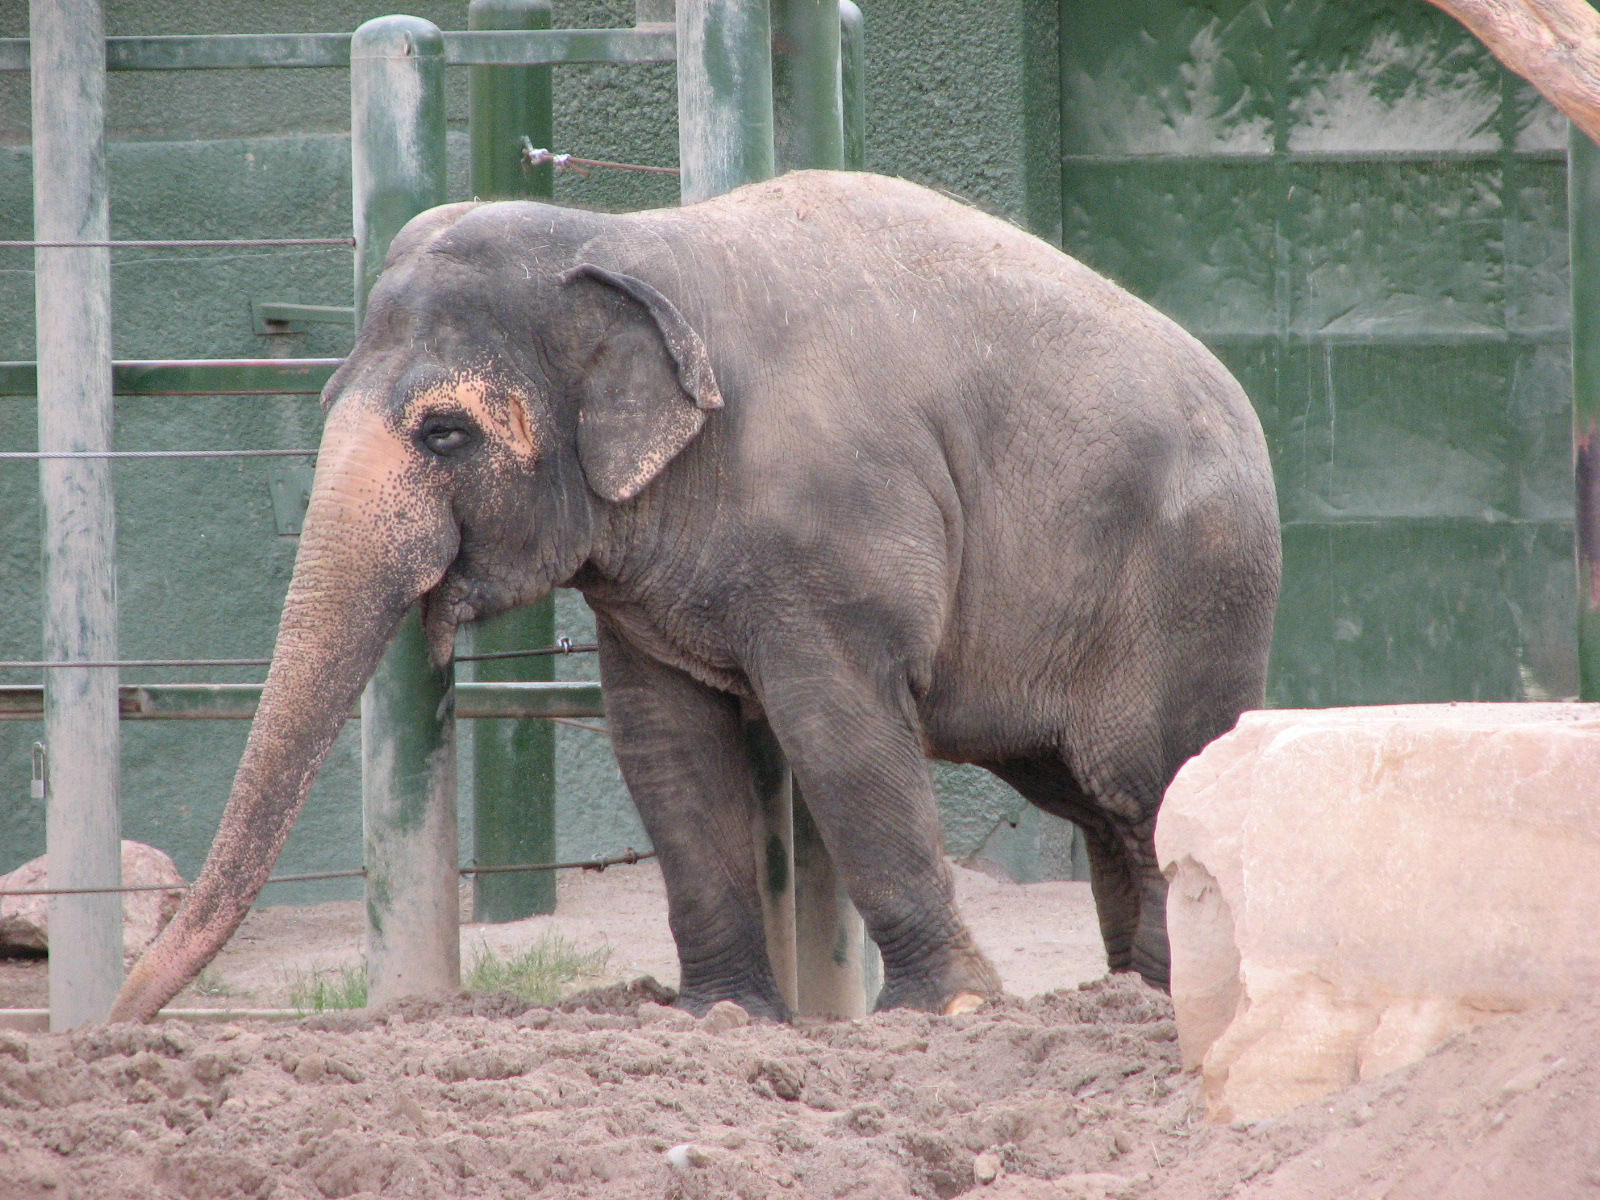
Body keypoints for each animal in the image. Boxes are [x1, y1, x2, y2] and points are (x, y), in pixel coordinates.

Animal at [111, 170, 1280, 1024]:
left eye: (443, 434)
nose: (119, 1024)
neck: (634, 240)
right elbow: (664, 747)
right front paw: (721, 1019)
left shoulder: (837, 536)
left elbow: (838, 735)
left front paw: (942, 1013)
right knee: (1090, 799)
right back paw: (1129, 994)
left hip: (1189, 593)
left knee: (1141, 783)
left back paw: (1174, 999)